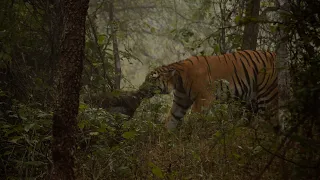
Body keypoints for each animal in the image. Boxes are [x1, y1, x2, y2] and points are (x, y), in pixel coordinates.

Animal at [141, 50, 278, 131]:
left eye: (150, 79)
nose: (140, 88)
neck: (178, 80)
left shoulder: (203, 98)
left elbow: (194, 118)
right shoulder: (181, 101)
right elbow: (172, 118)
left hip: (267, 94)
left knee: (267, 122)